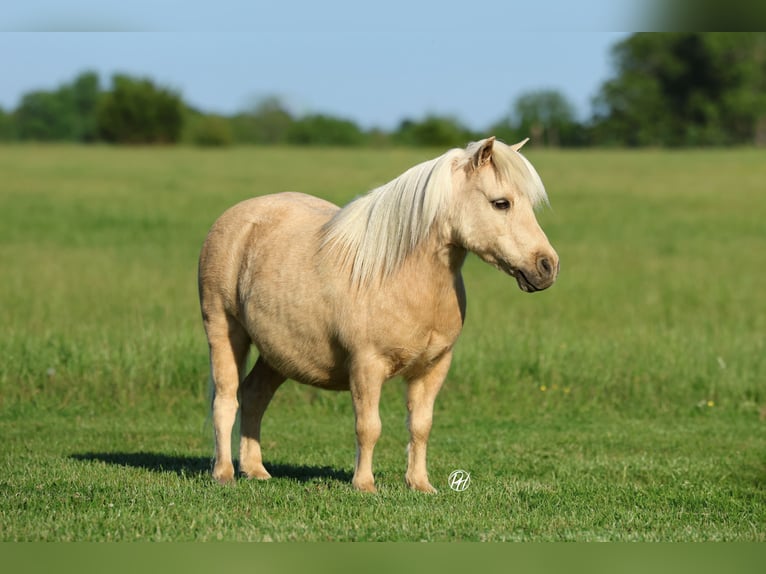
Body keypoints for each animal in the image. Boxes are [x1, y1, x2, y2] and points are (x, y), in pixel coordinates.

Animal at [198, 137, 559, 493]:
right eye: (501, 203)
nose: (547, 266)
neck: (402, 276)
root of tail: (237, 217)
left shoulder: (433, 368)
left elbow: (421, 426)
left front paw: (420, 483)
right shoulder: (366, 366)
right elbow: (368, 426)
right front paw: (364, 484)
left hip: (278, 354)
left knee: (254, 395)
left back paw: (255, 470)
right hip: (225, 331)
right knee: (226, 399)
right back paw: (224, 473)